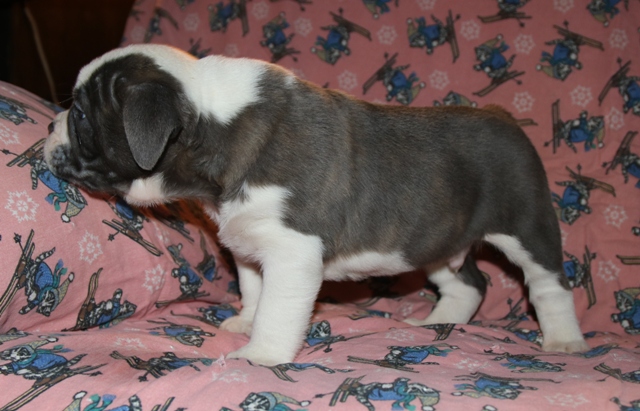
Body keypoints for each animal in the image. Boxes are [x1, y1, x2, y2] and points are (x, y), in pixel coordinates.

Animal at [44, 44, 589, 366]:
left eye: (82, 114)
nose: (49, 125)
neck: (211, 125)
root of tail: (503, 116)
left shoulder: (292, 253)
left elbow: (278, 308)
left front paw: (261, 355)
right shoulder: (251, 243)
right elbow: (253, 289)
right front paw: (244, 322)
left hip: (526, 224)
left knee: (548, 284)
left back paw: (563, 340)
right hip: (434, 242)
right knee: (468, 283)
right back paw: (437, 323)